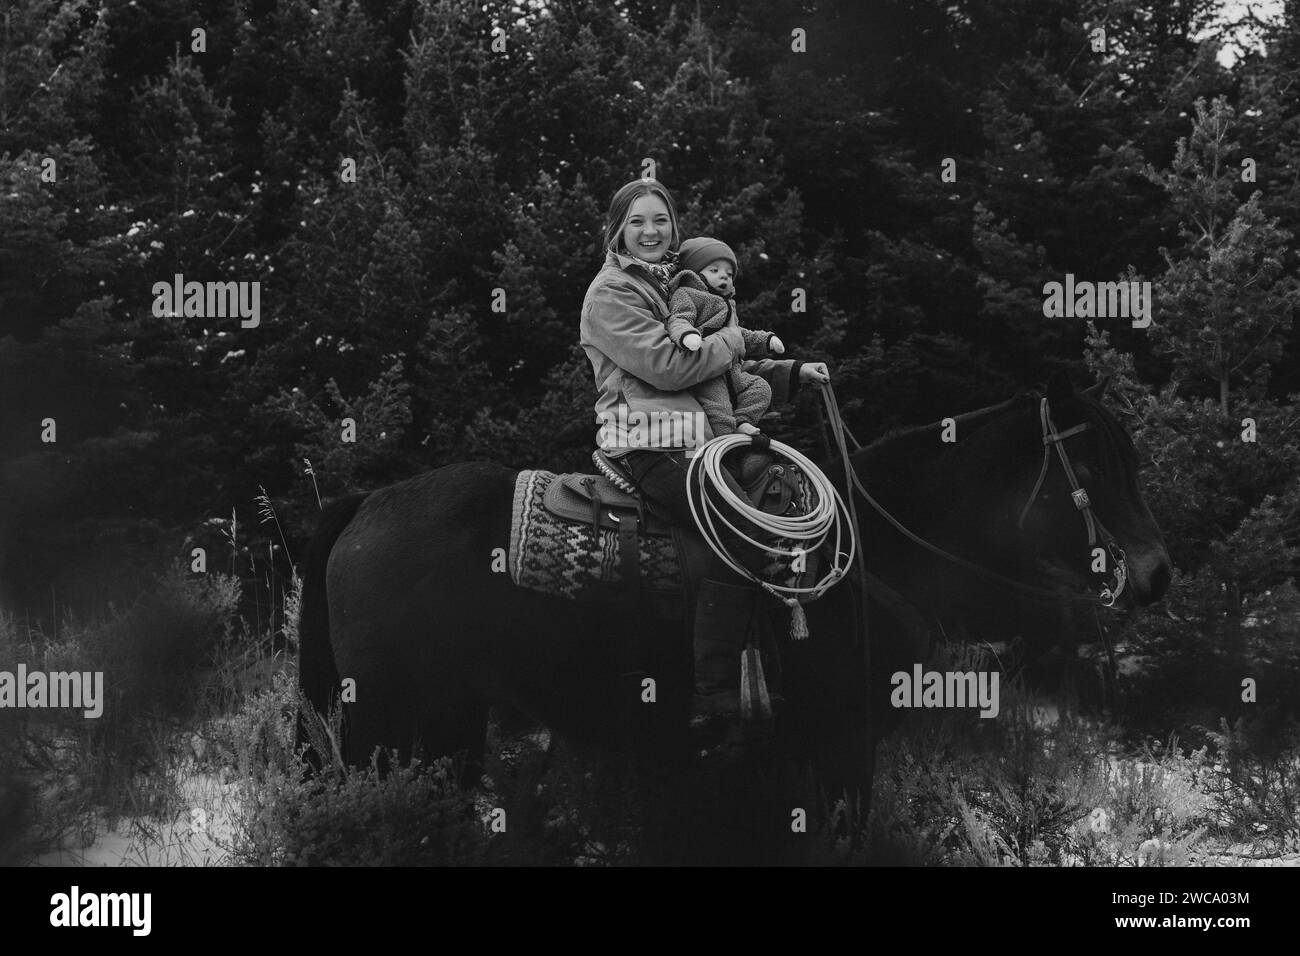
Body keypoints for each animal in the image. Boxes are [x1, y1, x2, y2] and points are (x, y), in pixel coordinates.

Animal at [299, 377, 1175, 832]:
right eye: (1095, 466)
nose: (1157, 572)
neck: (877, 549)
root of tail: (366, 503)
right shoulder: (842, 743)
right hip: (386, 722)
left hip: (448, 724)